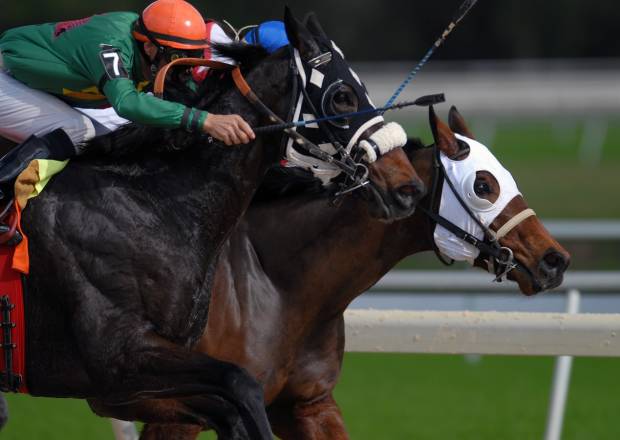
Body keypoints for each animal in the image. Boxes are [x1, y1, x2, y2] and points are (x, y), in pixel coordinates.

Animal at [3, 7, 422, 440]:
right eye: (341, 95)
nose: (407, 187)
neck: (152, 203)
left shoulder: (141, 382)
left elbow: (231, 406)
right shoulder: (118, 360)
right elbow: (241, 384)